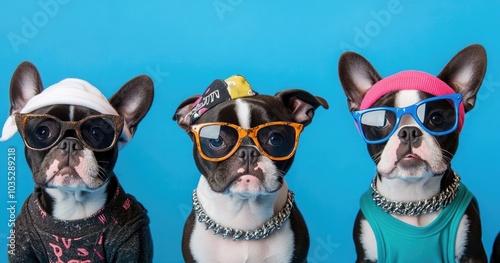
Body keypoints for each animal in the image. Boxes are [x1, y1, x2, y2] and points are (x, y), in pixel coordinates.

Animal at [338, 44, 486, 262]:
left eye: (436, 118)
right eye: (381, 121)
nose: (409, 131)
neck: (413, 199)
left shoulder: (472, 254)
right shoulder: (366, 257)